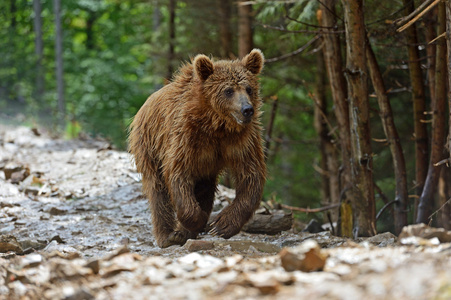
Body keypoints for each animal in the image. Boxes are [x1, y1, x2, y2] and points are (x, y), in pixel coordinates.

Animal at [127, 49, 266, 248]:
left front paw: (222, 225)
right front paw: (196, 220)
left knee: (205, 188)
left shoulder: (241, 141)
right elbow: (178, 174)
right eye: (228, 90)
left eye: (248, 88)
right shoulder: (185, 137)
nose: (247, 109)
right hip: (148, 144)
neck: (216, 124)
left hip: (205, 167)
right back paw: (167, 235)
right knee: (157, 190)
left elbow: (251, 175)